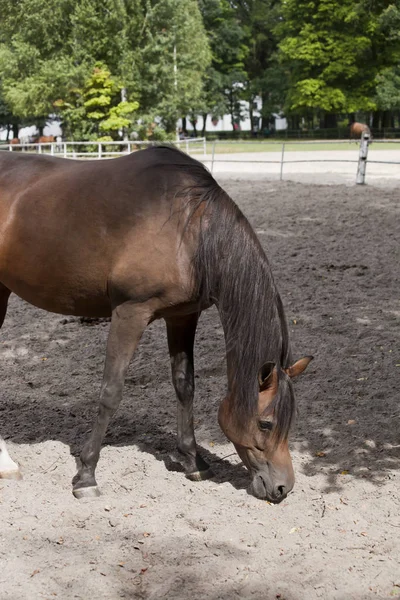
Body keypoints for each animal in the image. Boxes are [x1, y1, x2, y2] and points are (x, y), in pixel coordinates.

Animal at [0, 145, 312, 502]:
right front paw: (86, 474)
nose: (282, 487)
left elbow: (185, 385)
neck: (188, 229)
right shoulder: (130, 313)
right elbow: (111, 391)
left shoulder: (182, 316)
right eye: (265, 423)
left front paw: (193, 460)